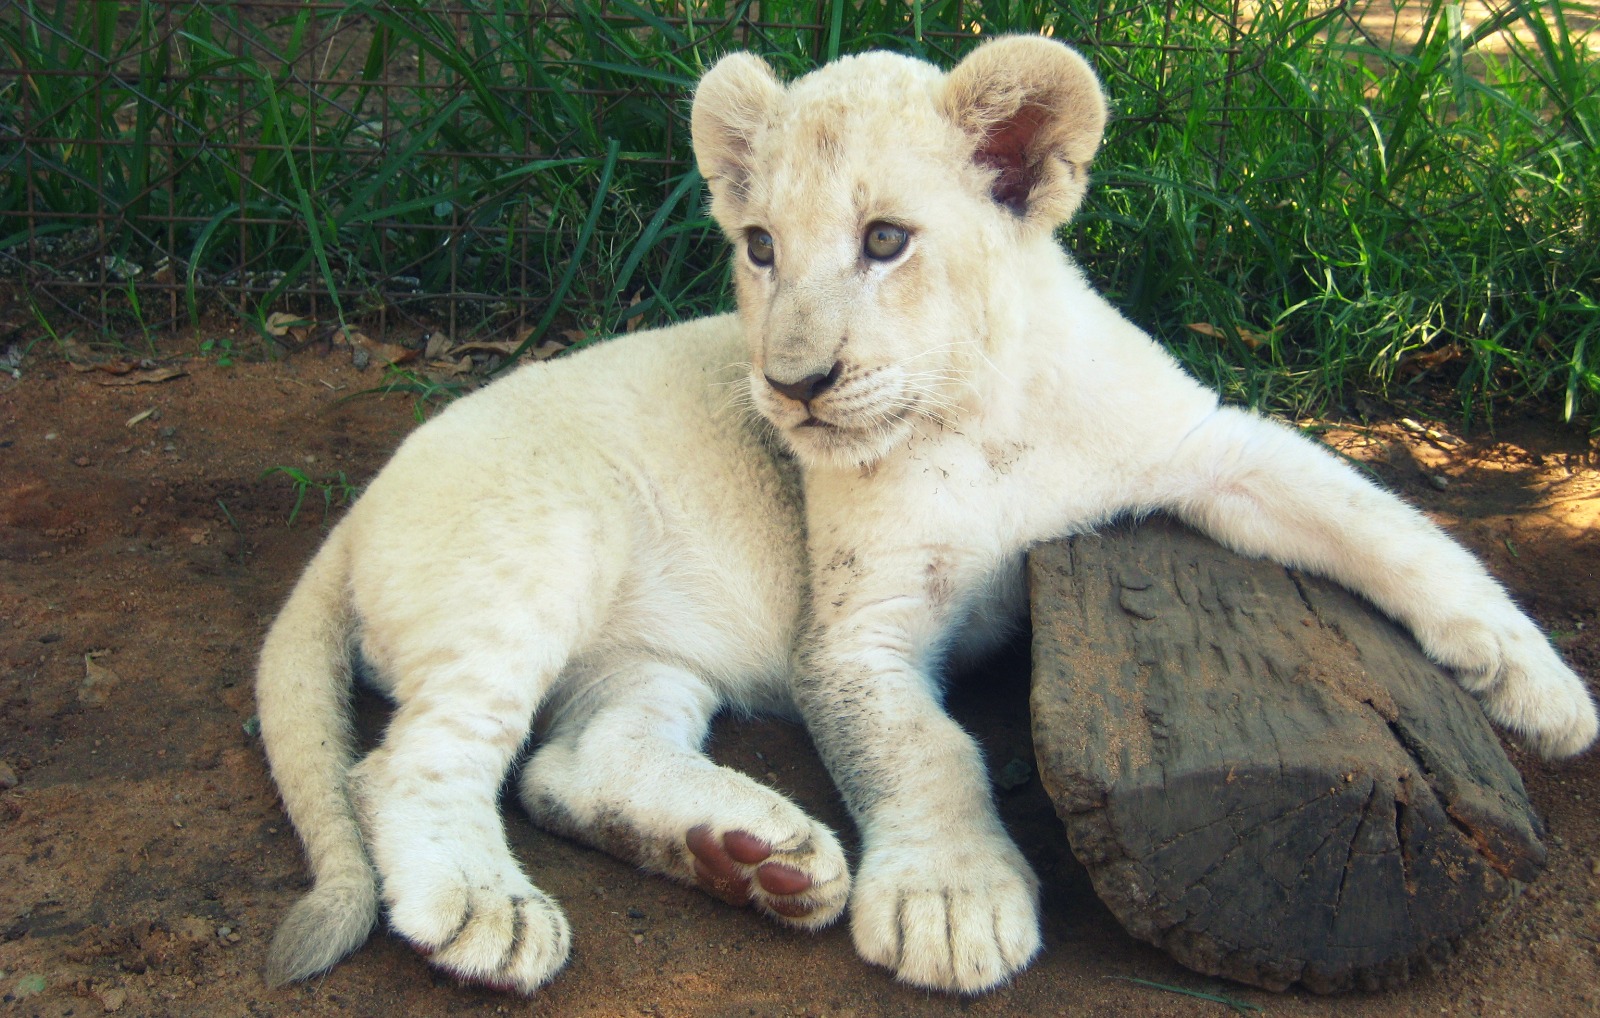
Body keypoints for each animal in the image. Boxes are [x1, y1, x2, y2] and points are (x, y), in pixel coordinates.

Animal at [256, 36, 1597, 997]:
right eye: (758, 246)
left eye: (885, 239)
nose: (791, 384)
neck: (976, 412)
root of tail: (354, 514)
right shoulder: (856, 631)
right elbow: (925, 750)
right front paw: (952, 905)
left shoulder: (1210, 446)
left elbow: (1390, 527)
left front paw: (1541, 691)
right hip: (537, 549)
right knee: (410, 763)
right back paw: (487, 907)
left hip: (641, 659)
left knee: (570, 763)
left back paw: (750, 857)